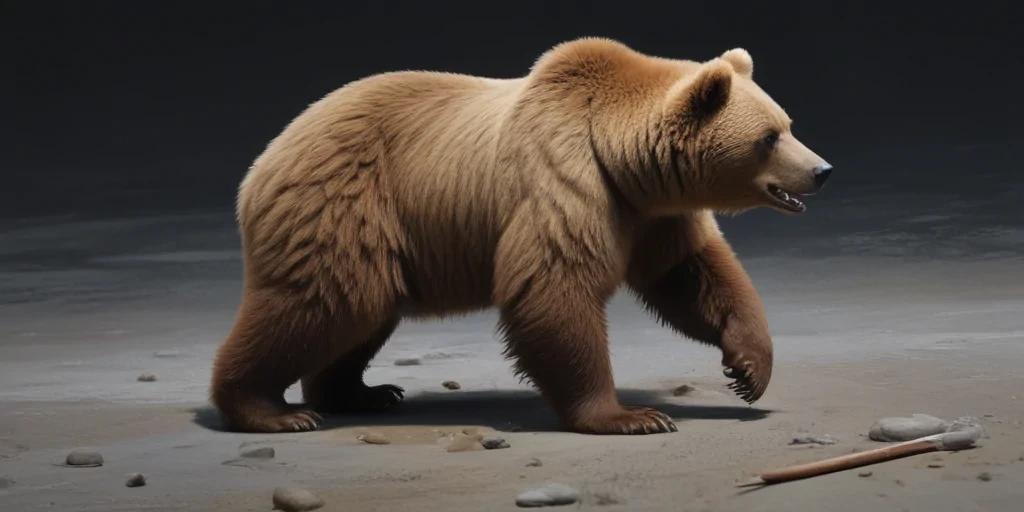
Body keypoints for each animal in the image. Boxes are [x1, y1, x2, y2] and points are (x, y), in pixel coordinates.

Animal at [210, 37, 833, 435]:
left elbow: (691, 274)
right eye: (769, 138)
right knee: (319, 302)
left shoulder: (649, 212)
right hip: (343, 203)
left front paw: (749, 368)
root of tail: (261, 163)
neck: (620, 156)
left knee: (360, 313)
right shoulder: (564, 180)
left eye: (788, 124)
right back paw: (267, 409)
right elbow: (554, 288)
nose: (822, 170)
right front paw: (631, 416)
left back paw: (359, 393)